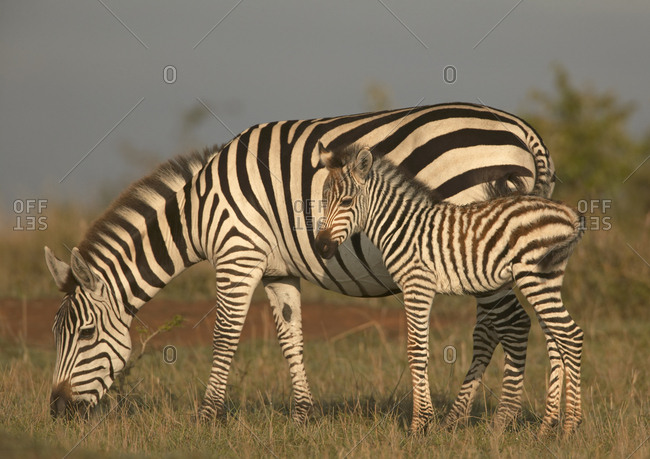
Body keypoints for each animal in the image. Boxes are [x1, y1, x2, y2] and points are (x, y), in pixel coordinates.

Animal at [45, 102, 554, 426]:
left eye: (85, 334)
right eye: (56, 335)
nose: (56, 410)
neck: (201, 208)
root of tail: (523, 130)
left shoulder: (238, 254)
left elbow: (225, 336)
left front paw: (206, 417)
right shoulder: (278, 269)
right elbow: (291, 336)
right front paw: (301, 417)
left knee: (513, 324)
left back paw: (502, 421)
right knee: (499, 325)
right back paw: (467, 419)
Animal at [314, 144, 583, 435]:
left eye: (346, 202)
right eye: (323, 200)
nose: (321, 247)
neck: (402, 227)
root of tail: (568, 213)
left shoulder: (417, 283)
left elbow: (416, 350)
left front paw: (420, 424)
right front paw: (425, 421)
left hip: (534, 276)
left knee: (571, 336)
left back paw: (570, 426)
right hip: (546, 278)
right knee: (556, 341)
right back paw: (547, 426)